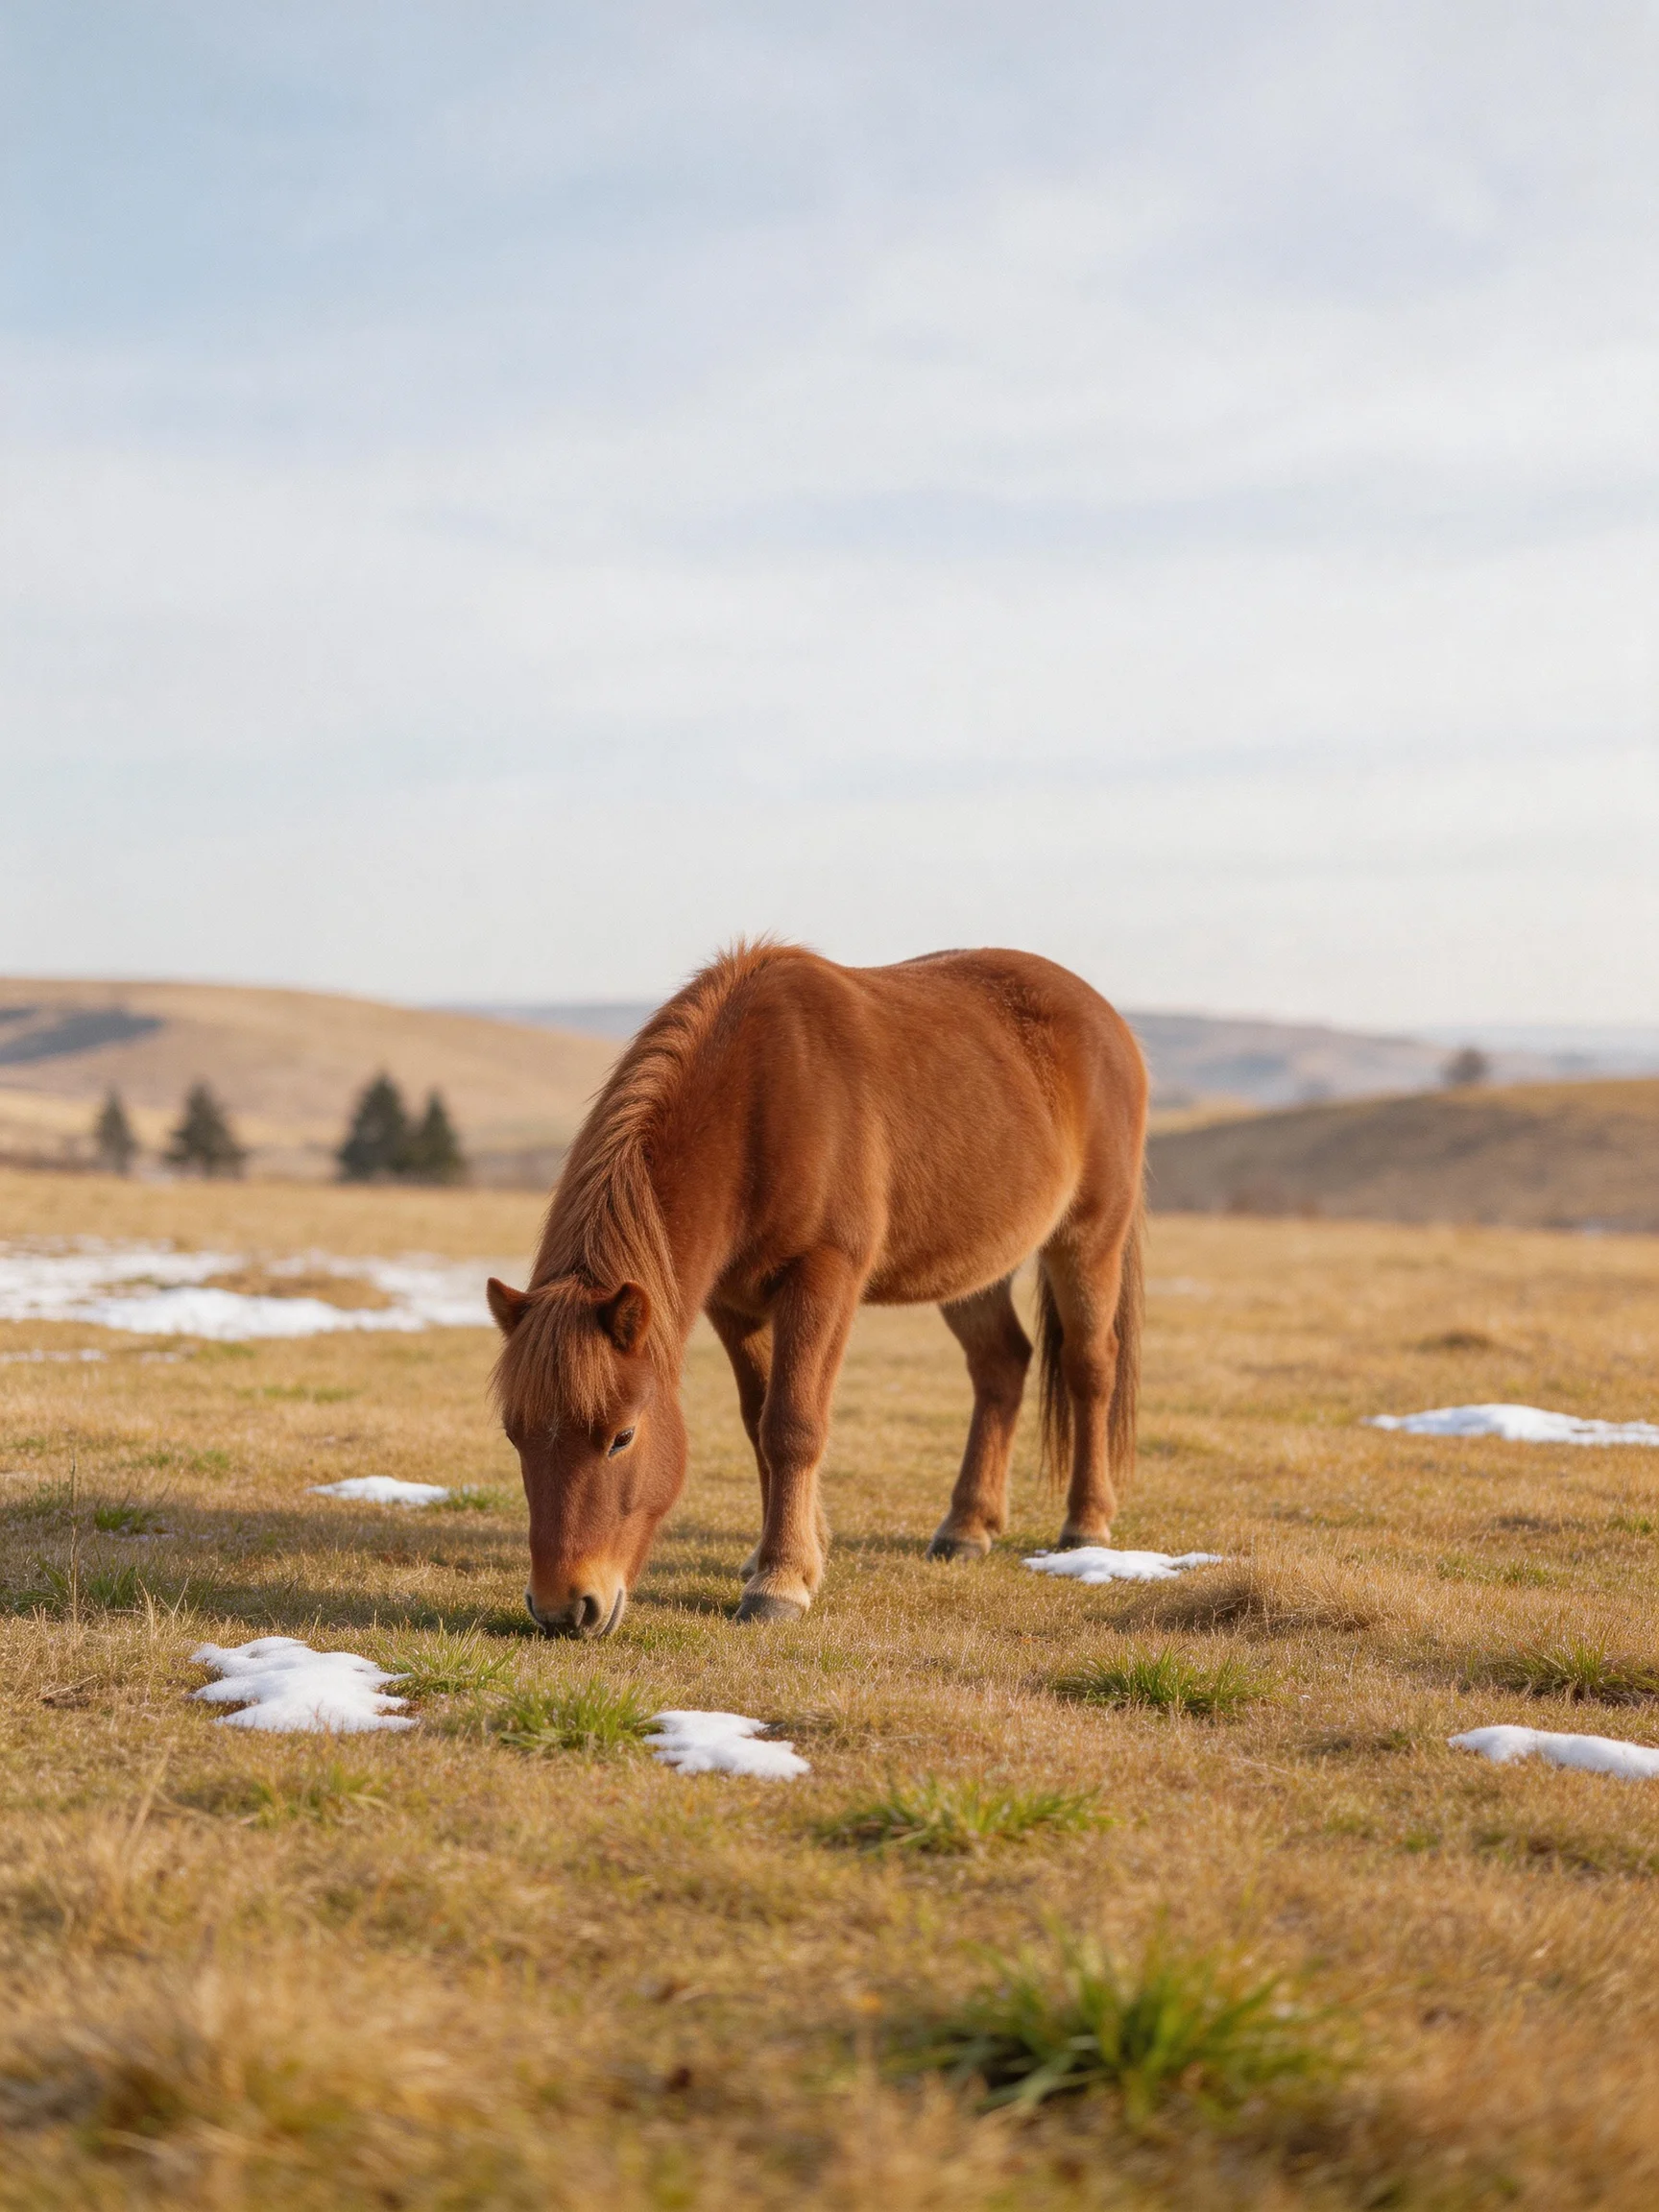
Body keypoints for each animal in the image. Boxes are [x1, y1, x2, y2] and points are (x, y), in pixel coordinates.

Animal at [488, 942, 1147, 1636]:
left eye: (622, 1437)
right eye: (514, 1434)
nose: (564, 1608)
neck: (755, 1100)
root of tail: (1104, 1017)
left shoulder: (823, 1278)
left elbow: (792, 1424)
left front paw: (779, 1582)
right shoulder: (733, 1302)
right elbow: (758, 1423)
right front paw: (784, 1556)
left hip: (1088, 1240)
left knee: (1090, 1366)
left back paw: (1086, 1524)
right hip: (974, 1269)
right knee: (1001, 1365)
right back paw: (967, 1527)